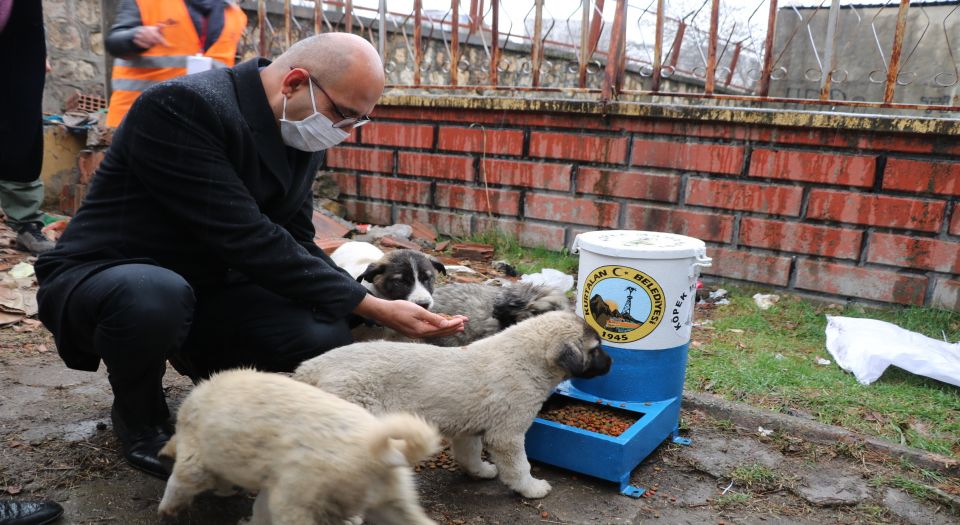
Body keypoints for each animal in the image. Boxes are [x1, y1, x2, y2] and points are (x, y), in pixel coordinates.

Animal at [158, 368, 442, 524]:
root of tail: (383, 456)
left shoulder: (193, 458)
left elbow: (178, 482)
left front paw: (166, 509)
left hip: (296, 502)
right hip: (394, 502)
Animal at [292, 312, 612, 500]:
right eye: (596, 350)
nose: (611, 364)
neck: (526, 360)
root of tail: (311, 368)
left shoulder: (468, 428)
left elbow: (468, 455)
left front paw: (480, 471)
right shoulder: (507, 435)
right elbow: (520, 466)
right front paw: (531, 488)